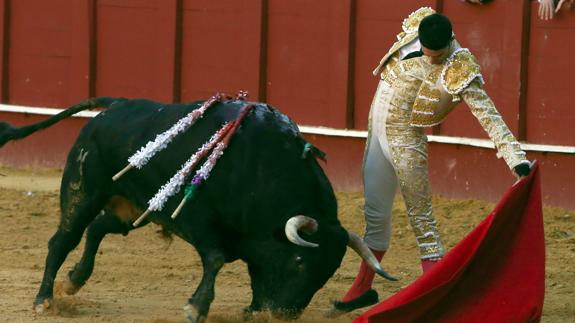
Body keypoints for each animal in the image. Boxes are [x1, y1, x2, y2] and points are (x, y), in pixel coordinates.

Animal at [0, 98, 396, 322]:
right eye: (300, 261)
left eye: (329, 271)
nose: (284, 315)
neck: (263, 170)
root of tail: (110, 109)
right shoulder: (196, 219)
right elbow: (216, 259)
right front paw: (196, 308)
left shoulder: (252, 238)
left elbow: (254, 269)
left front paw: (253, 309)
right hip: (83, 191)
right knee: (62, 239)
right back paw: (44, 300)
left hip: (134, 209)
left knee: (97, 229)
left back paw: (74, 280)